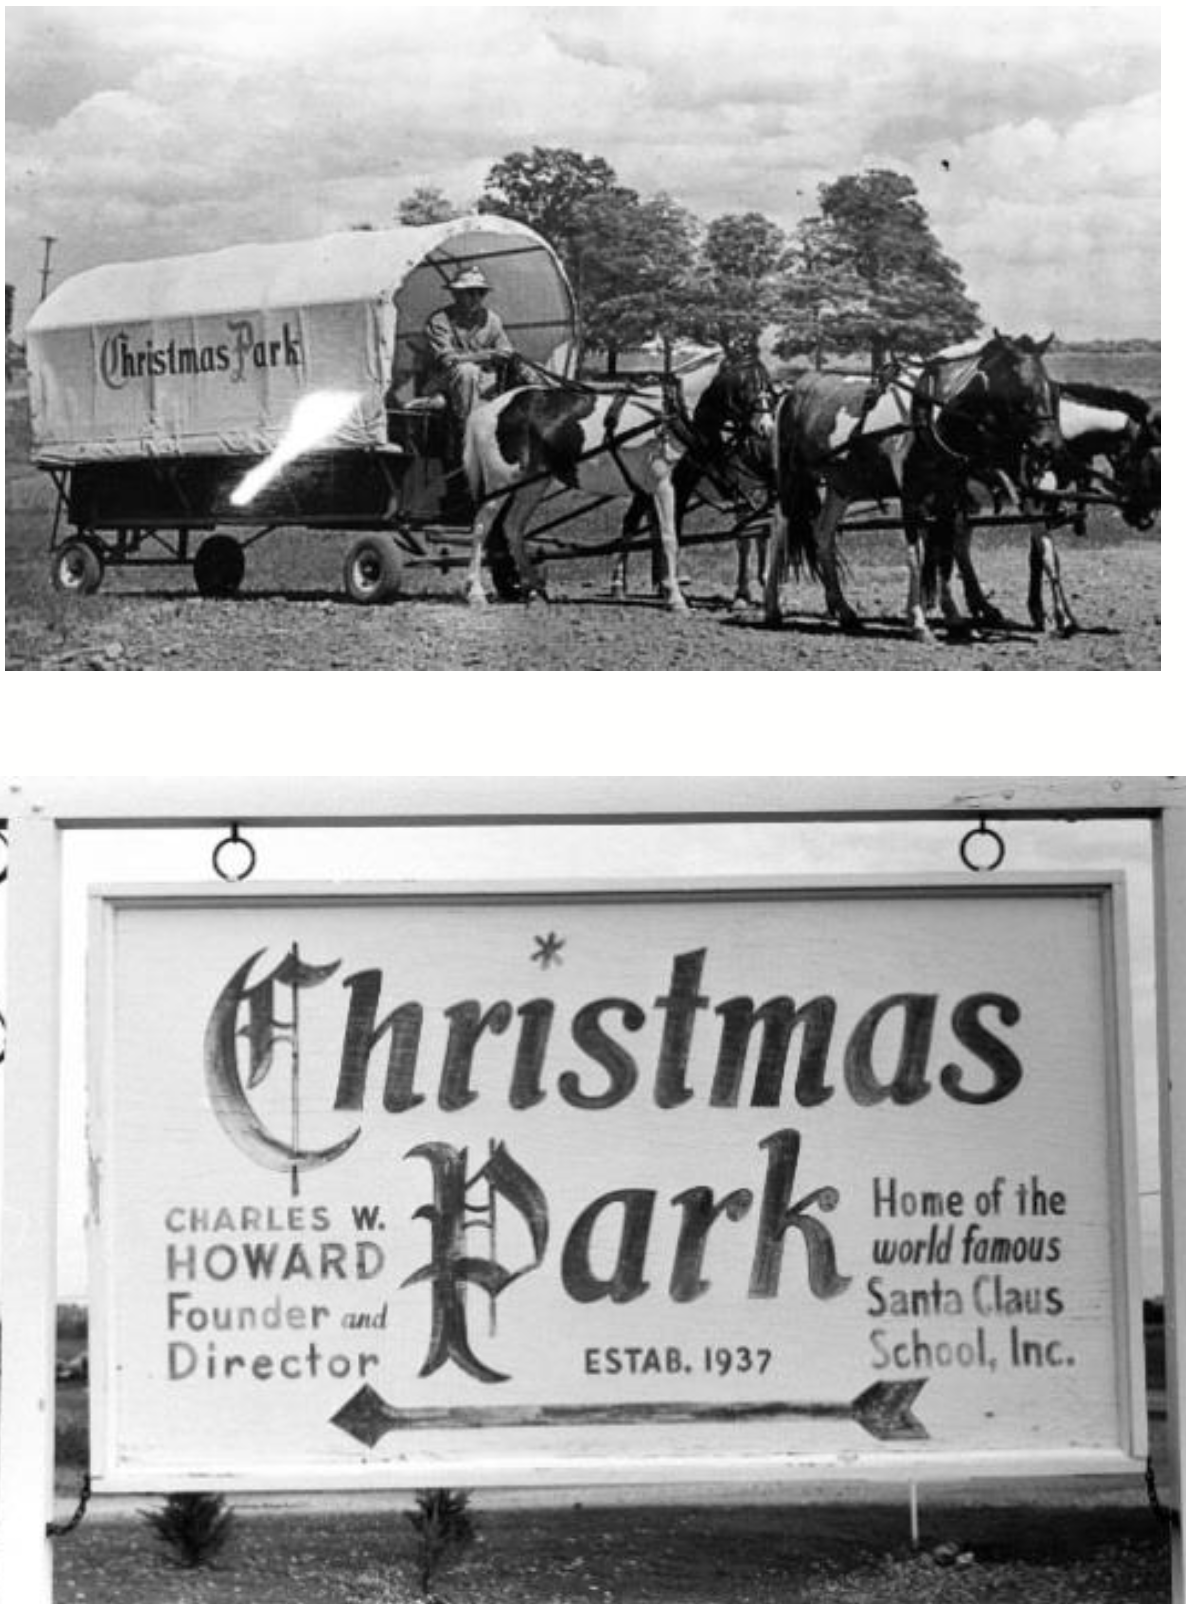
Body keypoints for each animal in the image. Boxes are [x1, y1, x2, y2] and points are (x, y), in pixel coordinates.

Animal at [465, 348, 731, 609]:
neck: (667, 416)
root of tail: (487, 410)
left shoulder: (655, 489)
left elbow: (653, 532)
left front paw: (665, 589)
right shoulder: (664, 485)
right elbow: (668, 537)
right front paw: (675, 597)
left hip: (533, 484)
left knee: (512, 526)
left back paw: (536, 588)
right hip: (499, 483)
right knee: (481, 527)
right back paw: (476, 592)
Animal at [606, 356, 783, 606]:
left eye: (770, 393)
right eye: (746, 391)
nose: (765, 429)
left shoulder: (761, 492)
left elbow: (761, 535)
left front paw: (763, 581)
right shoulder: (743, 492)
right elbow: (746, 540)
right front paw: (743, 593)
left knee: (654, 524)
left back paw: (662, 583)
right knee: (630, 523)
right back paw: (619, 583)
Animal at [763, 332, 1059, 638]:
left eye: (1051, 389)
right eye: (1021, 390)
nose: (1050, 445)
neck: (932, 415)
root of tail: (792, 391)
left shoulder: (947, 496)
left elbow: (944, 555)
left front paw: (953, 618)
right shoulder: (911, 496)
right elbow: (916, 555)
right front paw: (918, 621)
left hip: (841, 486)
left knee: (823, 534)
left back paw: (844, 610)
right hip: (792, 480)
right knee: (778, 532)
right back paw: (772, 608)